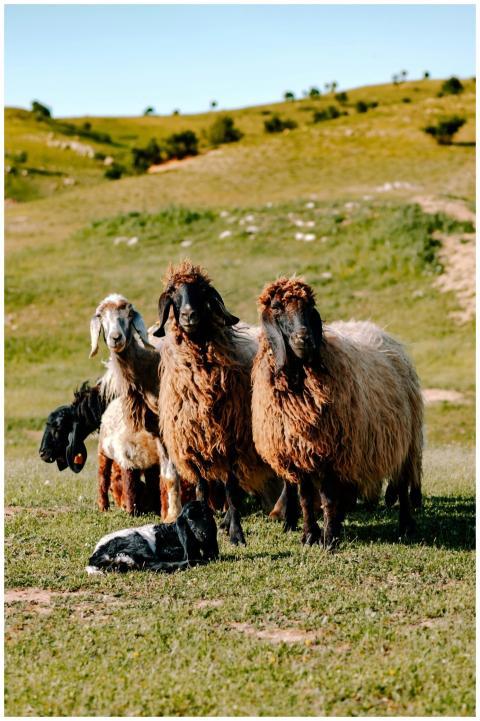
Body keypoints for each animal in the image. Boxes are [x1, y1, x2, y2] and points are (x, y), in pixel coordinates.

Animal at [86, 500, 219, 574]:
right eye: (190, 519)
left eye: (207, 516)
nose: (204, 533)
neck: (173, 532)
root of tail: (95, 556)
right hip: (138, 544)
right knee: (153, 565)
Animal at [152, 260, 283, 545]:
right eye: (174, 294)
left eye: (201, 291)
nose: (189, 315)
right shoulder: (193, 444)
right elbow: (202, 489)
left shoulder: (231, 440)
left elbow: (232, 489)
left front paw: (236, 534)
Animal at [251, 276, 423, 549]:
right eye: (277, 307)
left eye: (310, 307)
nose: (305, 339)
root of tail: (380, 332)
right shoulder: (300, 453)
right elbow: (306, 498)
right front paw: (309, 535)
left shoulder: (332, 451)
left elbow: (328, 498)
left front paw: (329, 538)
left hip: (406, 437)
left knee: (403, 481)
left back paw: (406, 525)